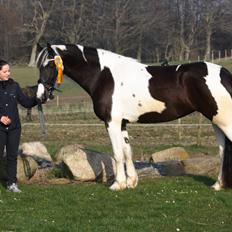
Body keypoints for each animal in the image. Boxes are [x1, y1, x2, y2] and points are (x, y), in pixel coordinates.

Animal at [35, 43, 232, 190]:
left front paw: (118, 184)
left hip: (224, 121)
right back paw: (217, 185)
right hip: (216, 122)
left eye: (51, 65)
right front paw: (131, 182)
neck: (103, 75)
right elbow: (127, 151)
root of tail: (225, 74)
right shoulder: (122, 123)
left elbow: (117, 153)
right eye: (39, 66)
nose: (42, 94)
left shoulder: (112, 122)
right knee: (223, 151)